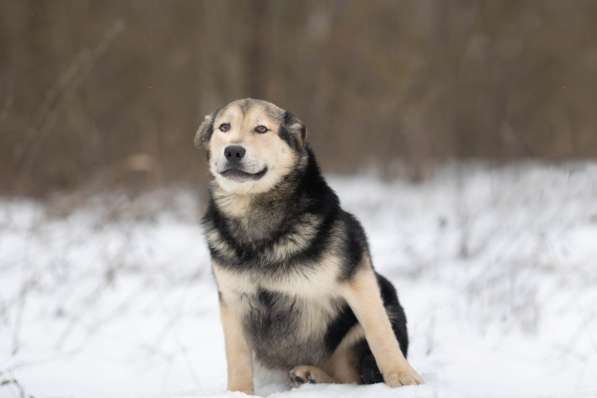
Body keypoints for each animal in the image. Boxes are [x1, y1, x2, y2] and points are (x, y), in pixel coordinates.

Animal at [193, 98, 422, 394]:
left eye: (261, 128)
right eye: (224, 127)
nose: (233, 150)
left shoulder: (357, 276)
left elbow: (378, 331)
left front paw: (402, 377)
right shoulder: (232, 300)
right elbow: (236, 357)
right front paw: (238, 393)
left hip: (383, 302)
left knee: (352, 377)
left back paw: (312, 375)